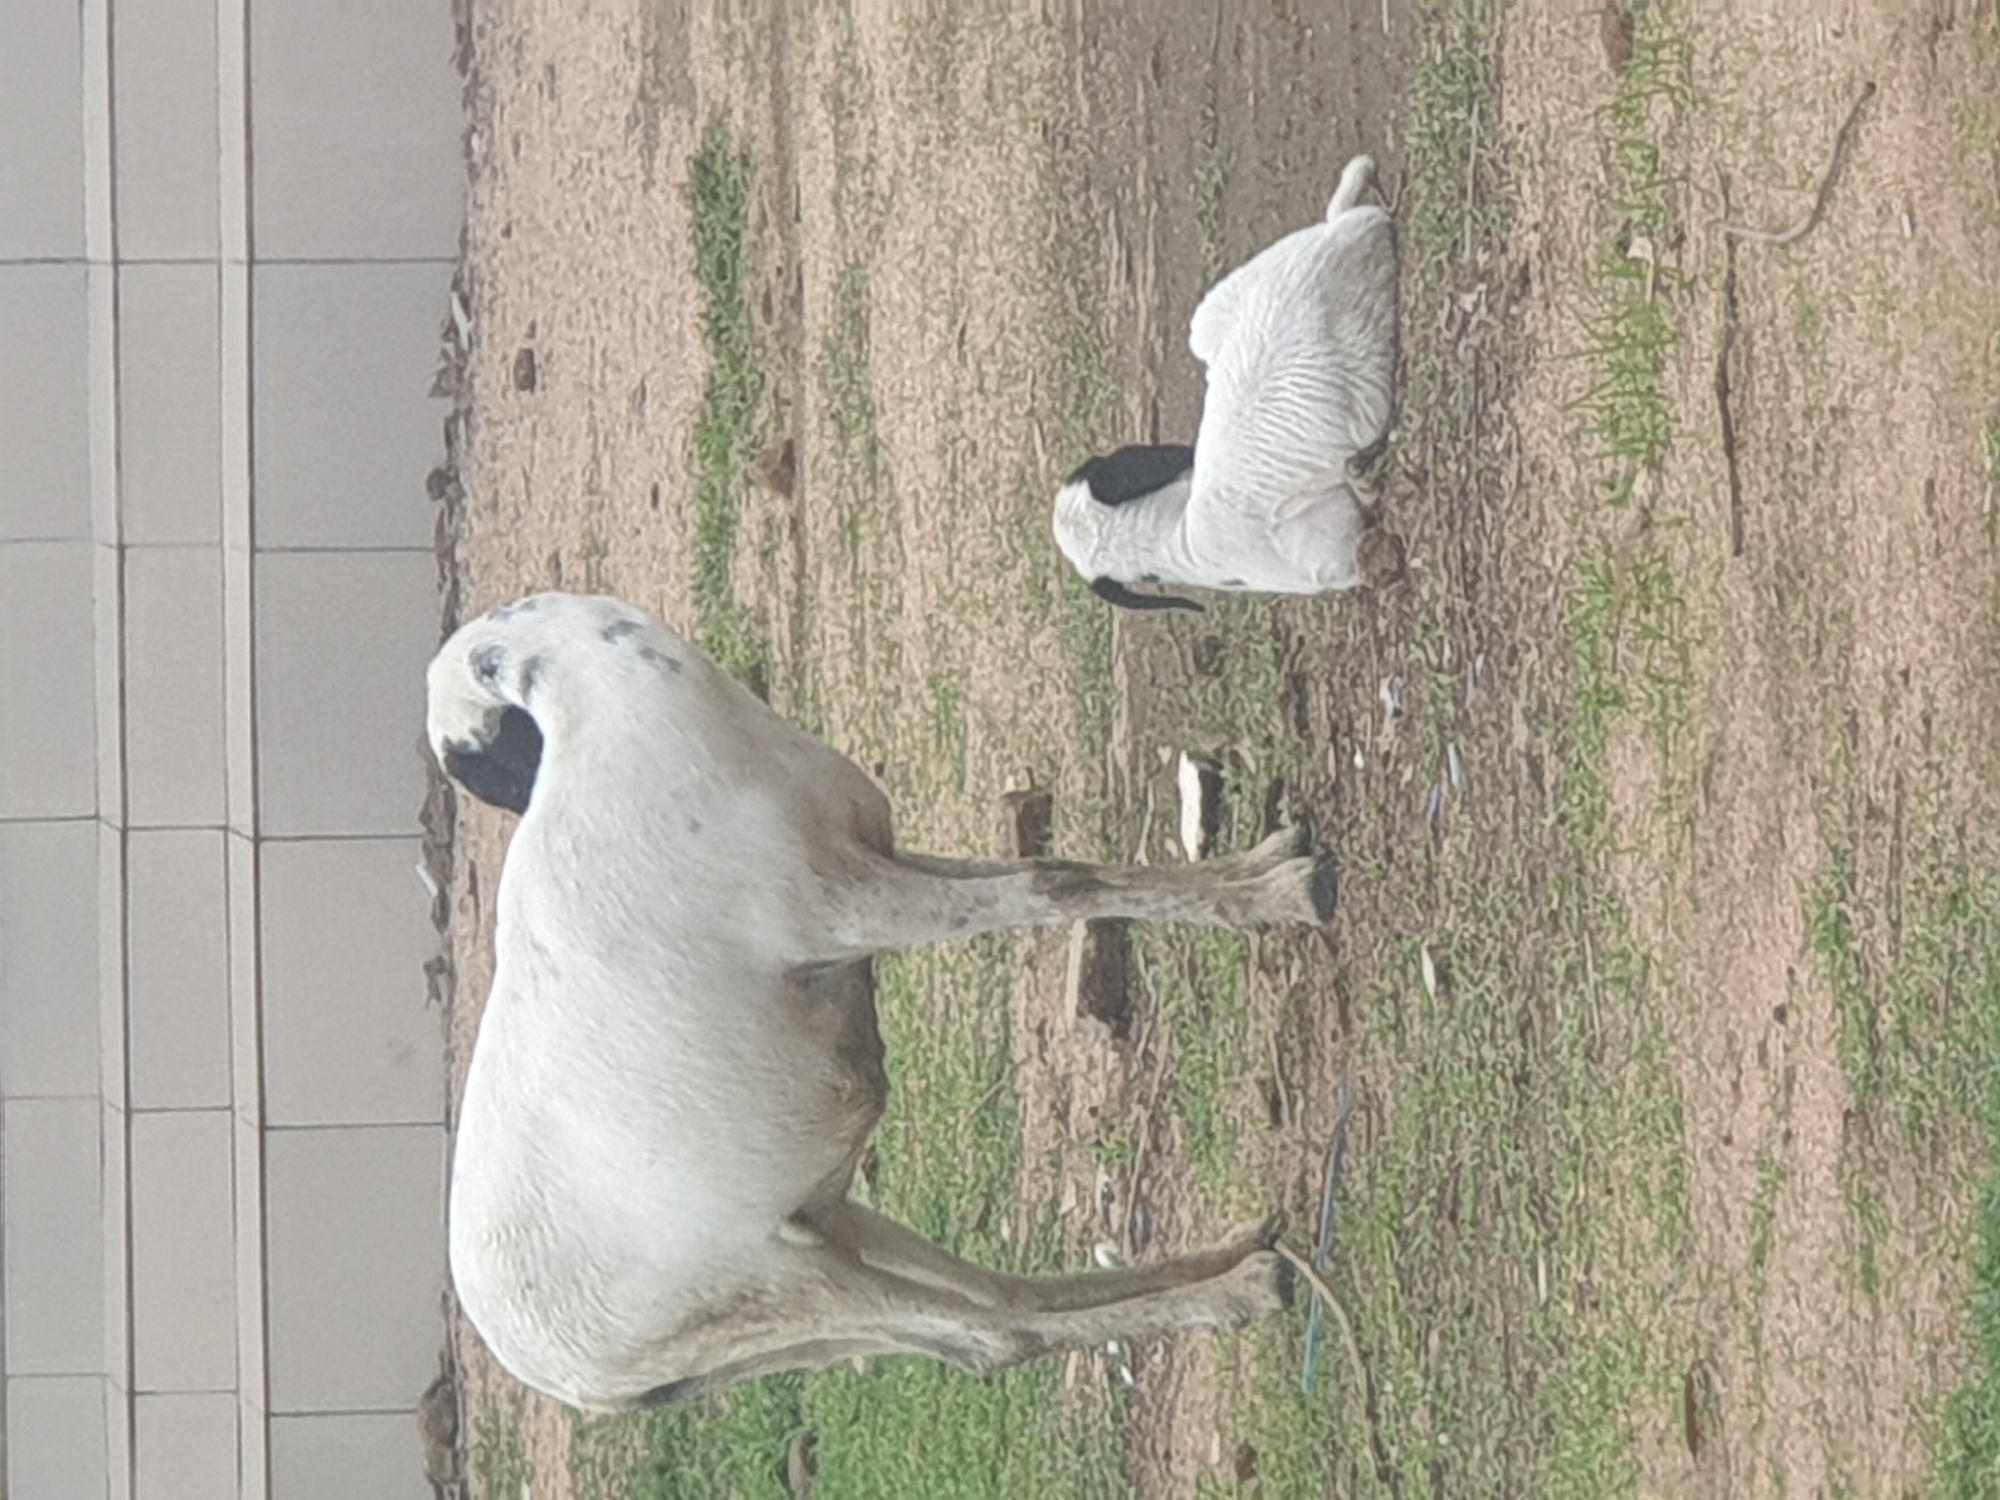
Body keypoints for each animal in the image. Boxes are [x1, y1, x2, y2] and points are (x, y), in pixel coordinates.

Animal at [427, 591, 1338, 1410]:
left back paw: (1234, 1254)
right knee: (996, 1334)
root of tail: (571, 1379)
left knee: (989, 1313)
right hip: (781, 1286)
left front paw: (1261, 866)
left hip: (815, 1253)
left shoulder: (877, 859)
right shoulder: (846, 906)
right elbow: (1051, 886)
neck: (608, 706)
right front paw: (1282, 894)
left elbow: (1057, 870)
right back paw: (1239, 1291)